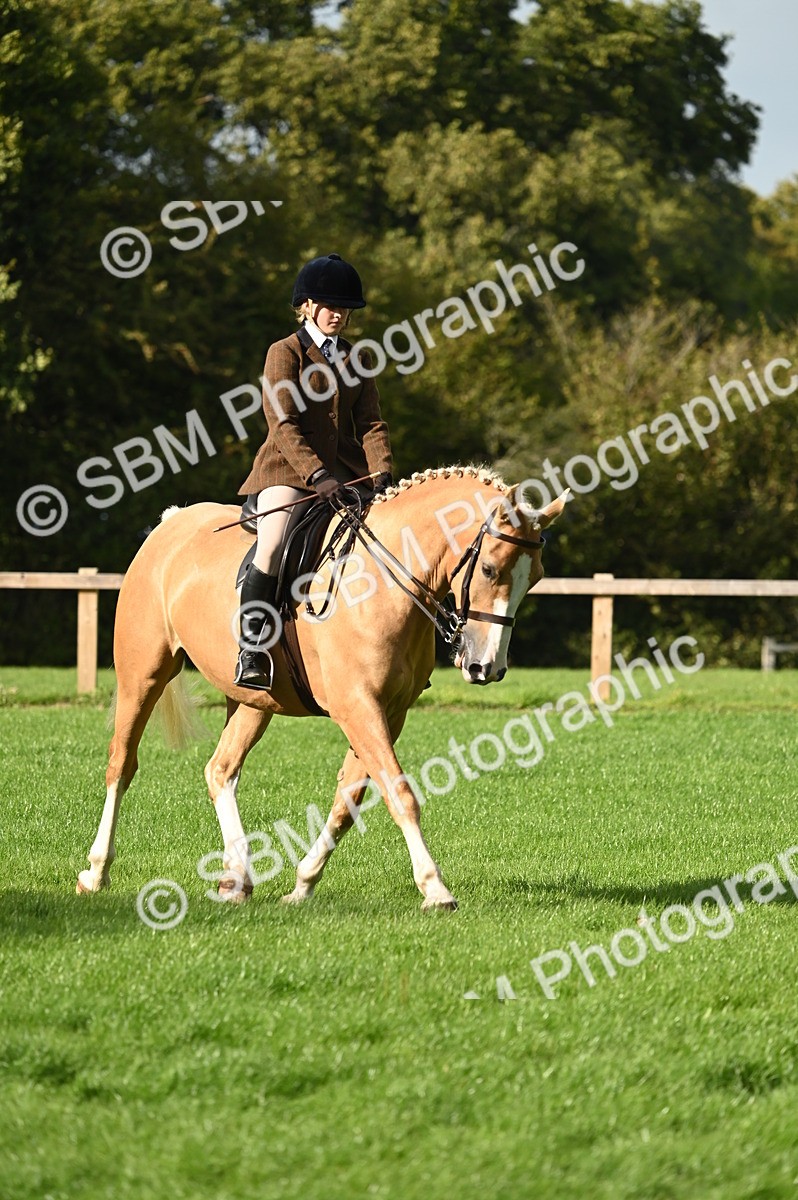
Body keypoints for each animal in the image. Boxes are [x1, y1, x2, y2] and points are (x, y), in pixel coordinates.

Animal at [76, 465, 567, 910]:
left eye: (535, 578)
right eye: (489, 569)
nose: (487, 667)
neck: (386, 583)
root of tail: (170, 523)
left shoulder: (388, 712)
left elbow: (350, 798)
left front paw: (302, 884)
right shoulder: (358, 707)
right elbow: (401, 794)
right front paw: (435, 888)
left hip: (254, 701)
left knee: (220, 770)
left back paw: (237, 880)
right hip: (143, 675)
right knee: (121, 765)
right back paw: (96, 871)